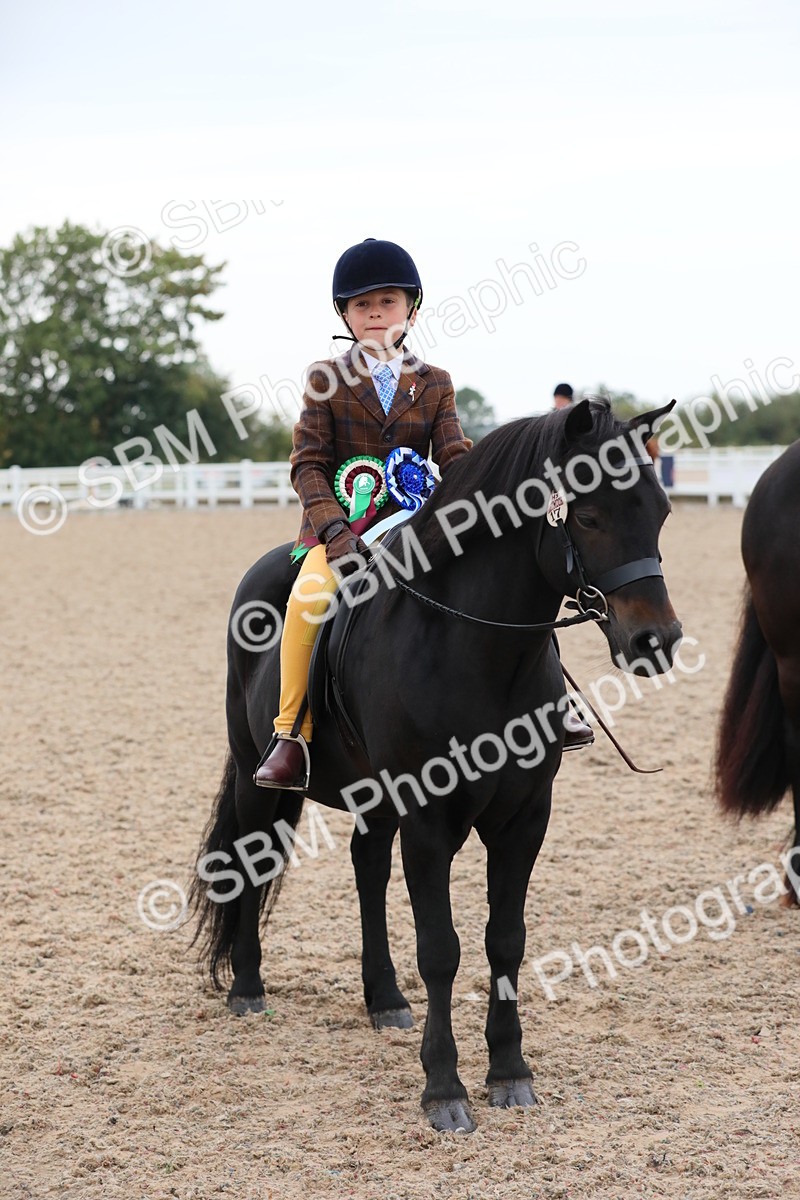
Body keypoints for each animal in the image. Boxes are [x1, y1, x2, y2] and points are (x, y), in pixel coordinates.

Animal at [190, 397, 682, 1134]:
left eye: (661, 511)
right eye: (590, 516)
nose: (657, 640)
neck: (475, 650)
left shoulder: (524, 819)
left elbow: (505, 938)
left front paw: (509, 1072)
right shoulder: (428, 821)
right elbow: (441, 948)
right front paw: (445, 1089)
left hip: (373, 793)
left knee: (366, 869)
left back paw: (385, 998)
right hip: (260, 776)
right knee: (253, 859)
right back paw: (248, 987)